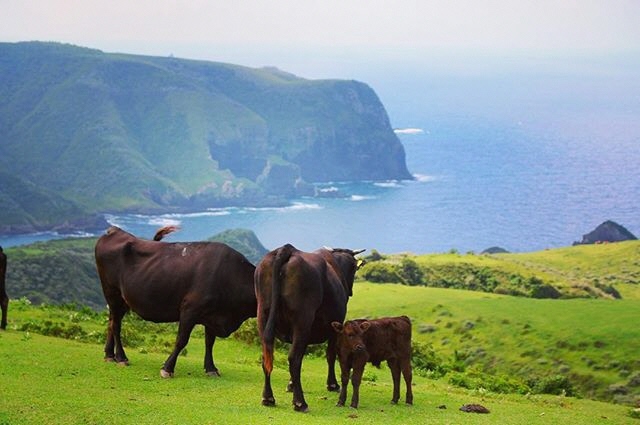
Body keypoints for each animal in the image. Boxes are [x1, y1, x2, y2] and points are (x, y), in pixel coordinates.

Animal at [95, 227, 255, 376]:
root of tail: (114, 230)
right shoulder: (190, 309)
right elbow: (181, 340)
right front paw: (167, 368)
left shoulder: (212, 314)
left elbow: (209, 342)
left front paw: (211, 368)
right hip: (112, 292)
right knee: (116, 325)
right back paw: (121, 357)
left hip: (122, 301)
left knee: (111, 322)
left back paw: (109, 355)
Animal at [255, 243, 364, 412]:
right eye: (353, 269)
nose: (350, 291)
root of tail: (287, 249)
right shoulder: (336, 329)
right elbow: (331, 355)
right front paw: (332, 384)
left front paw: (291, 384)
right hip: (302, 320)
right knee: (294, 358)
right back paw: (300, 402)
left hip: (263, 315)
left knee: (268, 354)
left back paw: (268, 397)